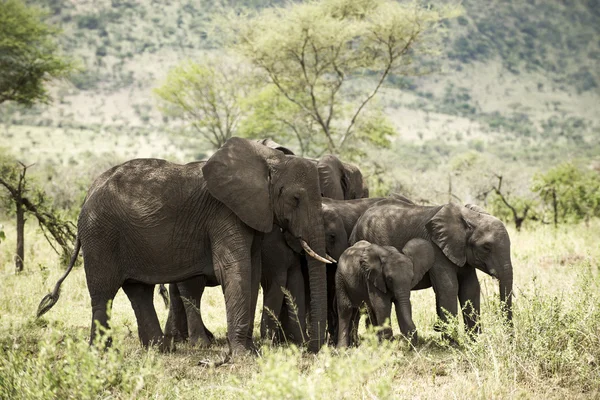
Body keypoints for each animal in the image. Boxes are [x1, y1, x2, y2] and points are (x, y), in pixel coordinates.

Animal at [37, 137, 330, 354]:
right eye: (295, 199)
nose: (312, 348)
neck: (268, 161)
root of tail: (88, 193)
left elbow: (253, 270)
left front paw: (250, 350)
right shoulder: (223, 213)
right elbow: (233, 268)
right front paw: (243, 355)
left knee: (139, 291)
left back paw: (160, 349)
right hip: (100, 234)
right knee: (104, 293)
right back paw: (102, 353)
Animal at [352, 200, 516, 334]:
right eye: (486, 247)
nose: (509, 338)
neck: (470, 217)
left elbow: (470, 287)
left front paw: (473, 341)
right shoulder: (437, 249)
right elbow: (448, 287)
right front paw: (454, 344)